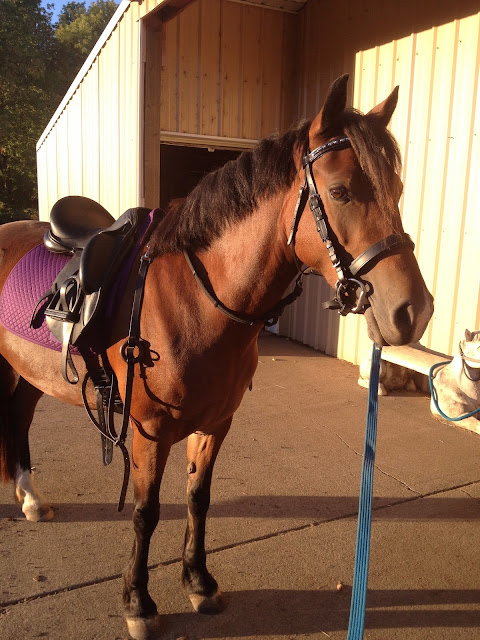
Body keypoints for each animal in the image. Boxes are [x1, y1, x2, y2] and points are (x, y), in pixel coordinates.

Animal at [0, 75, 433, 640]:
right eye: (340, 191)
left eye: (398, 191)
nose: (413, 311)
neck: (197, 298)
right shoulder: (148, 430)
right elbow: (146, 512)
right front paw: (138, 602)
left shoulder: (216, 423)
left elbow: (197, 500)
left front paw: (200, 583)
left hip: (30, 375)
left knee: (19, 417)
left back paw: (29, 497)